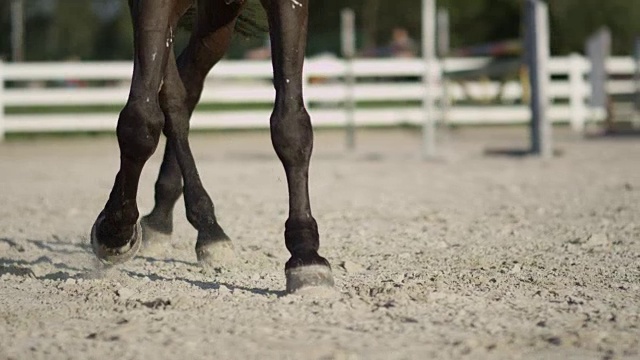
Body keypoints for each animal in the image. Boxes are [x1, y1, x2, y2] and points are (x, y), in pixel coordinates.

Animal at [90, 0, 336, 292]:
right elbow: (140, 121)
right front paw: (115, 232)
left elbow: (291, 126)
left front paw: (306, 255)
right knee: (172, 97)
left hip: (218, 19)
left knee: (187, 83)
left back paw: (185, 223)